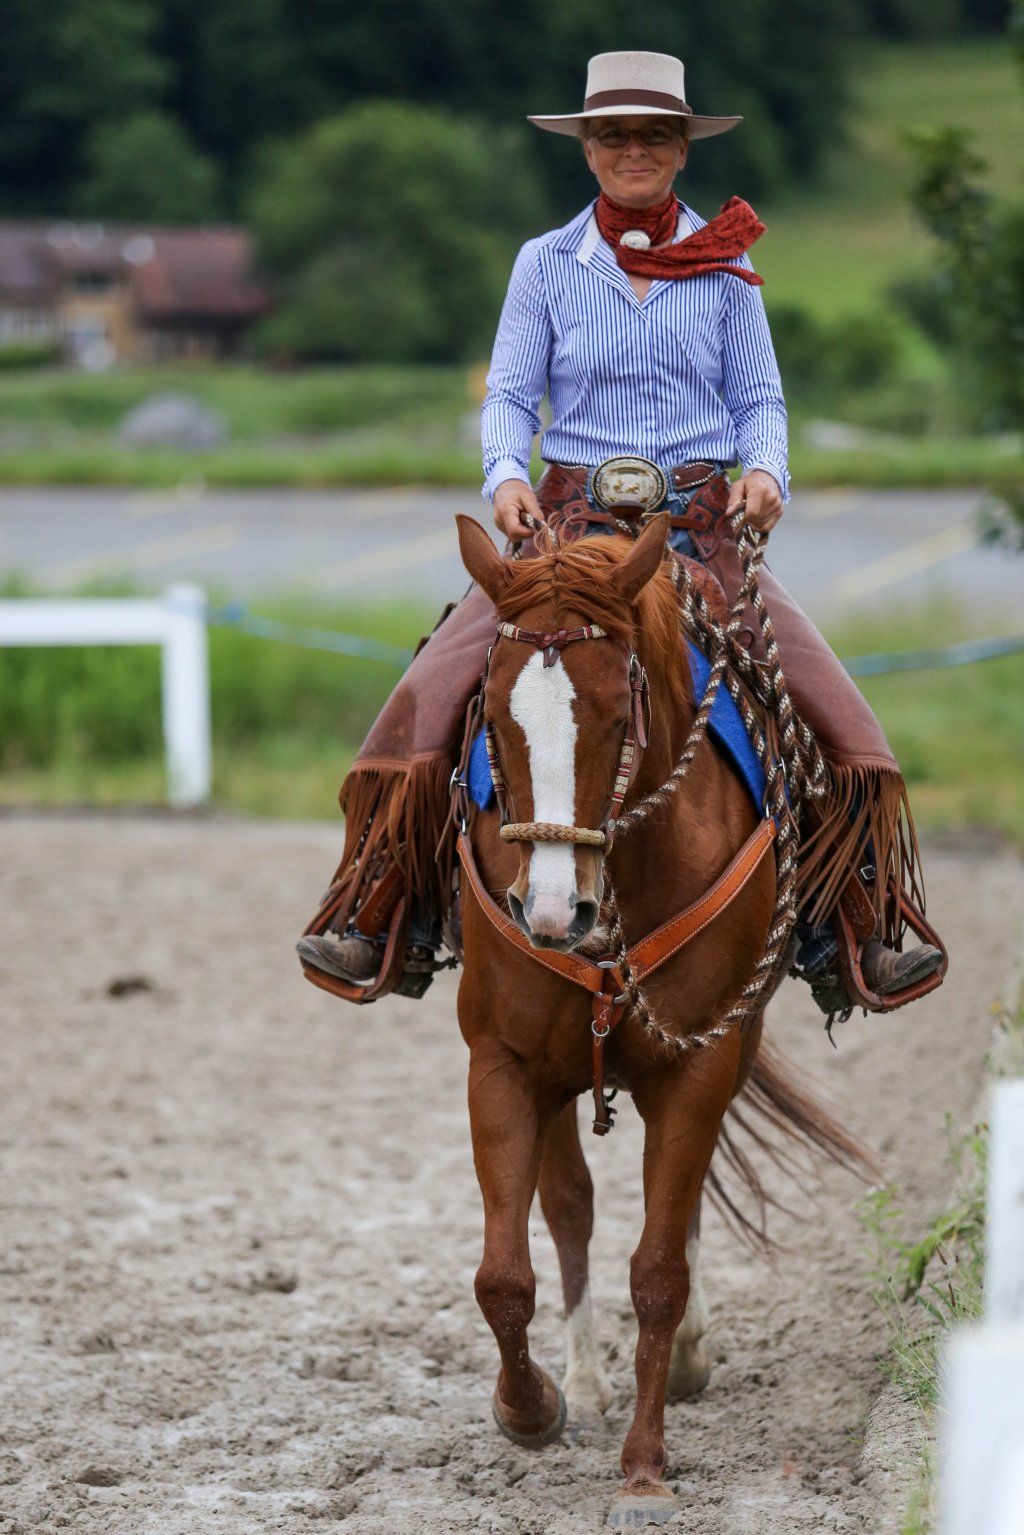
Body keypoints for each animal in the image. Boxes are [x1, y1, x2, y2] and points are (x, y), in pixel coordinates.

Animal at [452, 511, 865, 1527]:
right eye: (496, 716)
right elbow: (504, 1270)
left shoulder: (697, 1065)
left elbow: (660, 1269)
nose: (550, 913)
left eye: (614, 714)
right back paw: (584, 1384)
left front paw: (643, 1467)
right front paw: (531, 1408)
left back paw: (676, 1365)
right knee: (569, 1205)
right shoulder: (502, 1062)